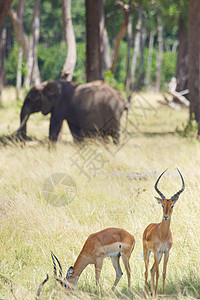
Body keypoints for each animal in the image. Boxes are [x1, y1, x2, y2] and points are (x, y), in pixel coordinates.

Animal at [143, 169, 185, 298]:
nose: (165, 217)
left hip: (159, 255)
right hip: (148, 253)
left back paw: (152, 293)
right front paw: (157, 294)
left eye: (172, 205)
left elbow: (163, 273)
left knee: (151, 270)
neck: (162, 235)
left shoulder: (166, 252)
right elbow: (157, 273)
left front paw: (162, 293)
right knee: (146, 271)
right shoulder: (156, 251)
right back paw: (146, 294)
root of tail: (149, 227)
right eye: (162, 205)